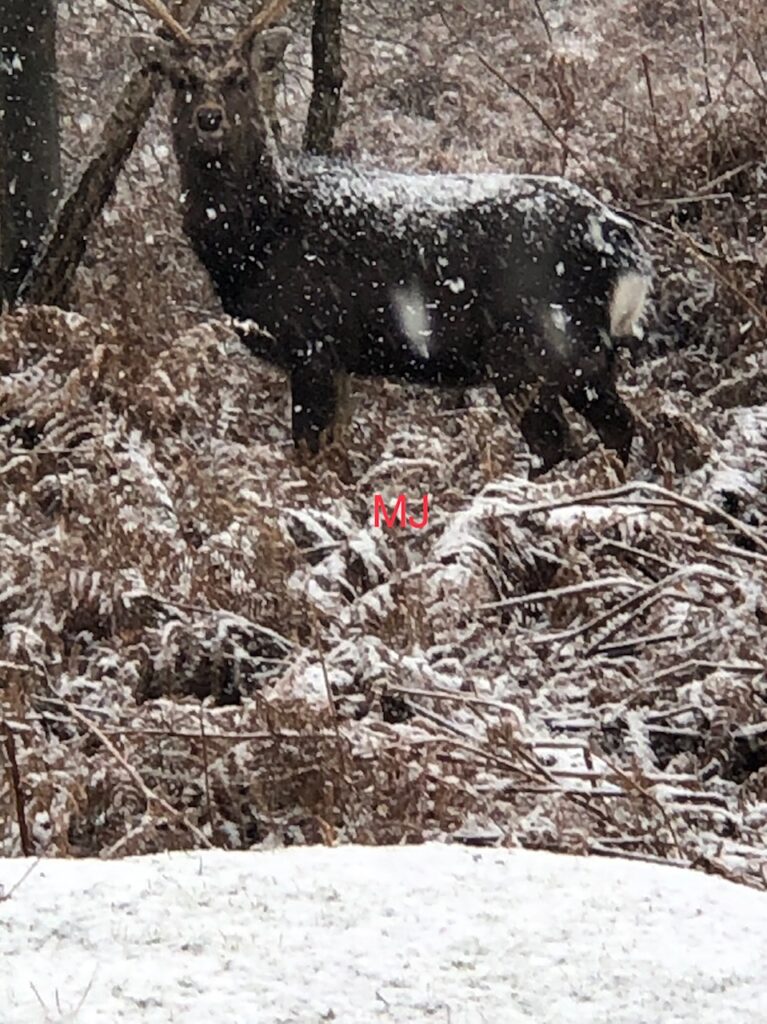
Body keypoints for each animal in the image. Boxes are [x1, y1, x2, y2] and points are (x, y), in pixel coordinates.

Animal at [130, 0, 652, 476]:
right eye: (182, 79)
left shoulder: (313, 339)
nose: (209, 118)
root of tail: (622, 244)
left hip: (543, 343)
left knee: (578, 437)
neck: (256, 241)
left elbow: (310, 459)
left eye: (239, 78)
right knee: (605, 429)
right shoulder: (341, 358)